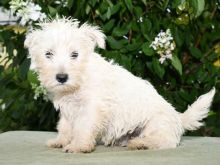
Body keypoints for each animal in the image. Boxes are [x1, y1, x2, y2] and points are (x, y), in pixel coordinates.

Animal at [24, 17, 215, 153]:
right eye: (48, 54)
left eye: (75, 54)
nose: (62, 77)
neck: (80, 80)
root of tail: (178, 118)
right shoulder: (67, 110)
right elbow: (64, 127)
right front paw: (60, 141)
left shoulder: (92, 107)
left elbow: (83, 127)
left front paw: (78, 146)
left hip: (156, 124)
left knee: (164, 141)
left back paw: (140, 143)